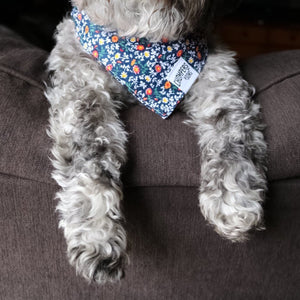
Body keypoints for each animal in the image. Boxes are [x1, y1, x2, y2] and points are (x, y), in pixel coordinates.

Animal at [46, 0, 268, 284]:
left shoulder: (219, 80)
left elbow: (232, 132)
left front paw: (233, 198)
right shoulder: (82, 91)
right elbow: (89, 161)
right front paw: (96, 237)